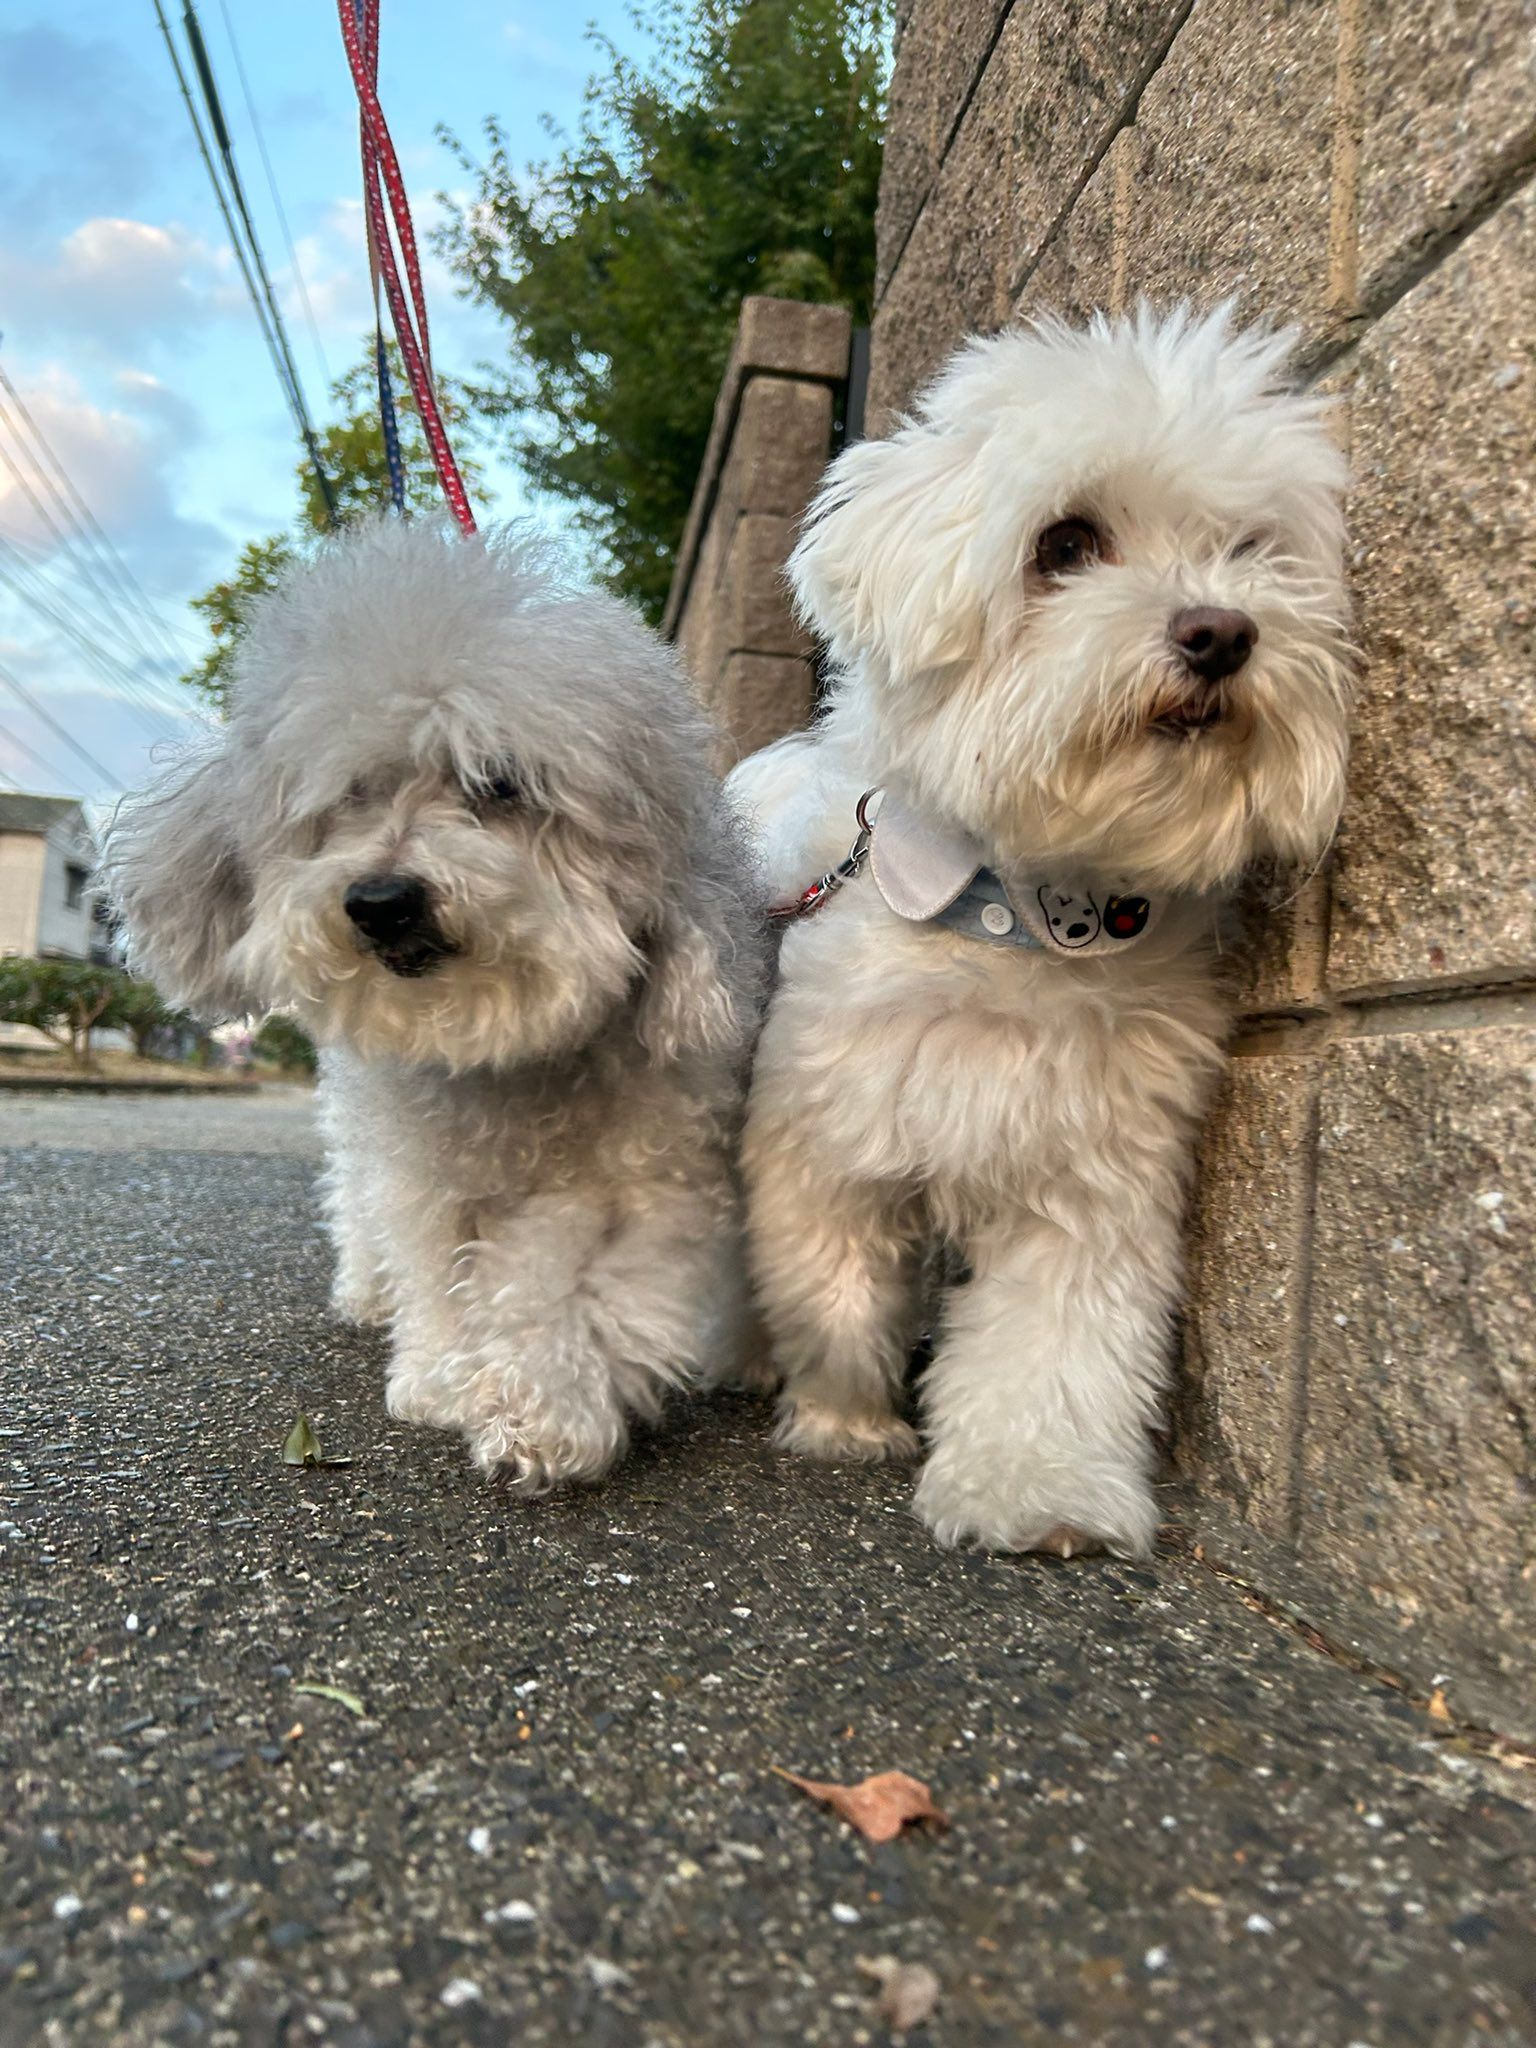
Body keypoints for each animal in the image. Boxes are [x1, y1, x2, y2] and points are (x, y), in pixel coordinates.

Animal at [105, 524, 765, 1490]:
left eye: (500, 785)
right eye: (351, 793)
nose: (381, 901)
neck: (509, 1057)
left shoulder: (662, 1174)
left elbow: (595, 1282)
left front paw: (546, 1405)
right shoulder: (422, 1169)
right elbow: (435, 1265)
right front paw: (445, 1380)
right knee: (358, 1207)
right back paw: (367, 1293)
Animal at [741, 307, 1351, 1548]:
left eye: (1253, 549)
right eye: (1064, 543)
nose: (1223, 631)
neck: (1025, 919)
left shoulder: (1094, 1173)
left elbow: (1061, 1339)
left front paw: (1040, 1486)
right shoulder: (826, 1129)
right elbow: (830, 1284)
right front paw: (843, 1417)